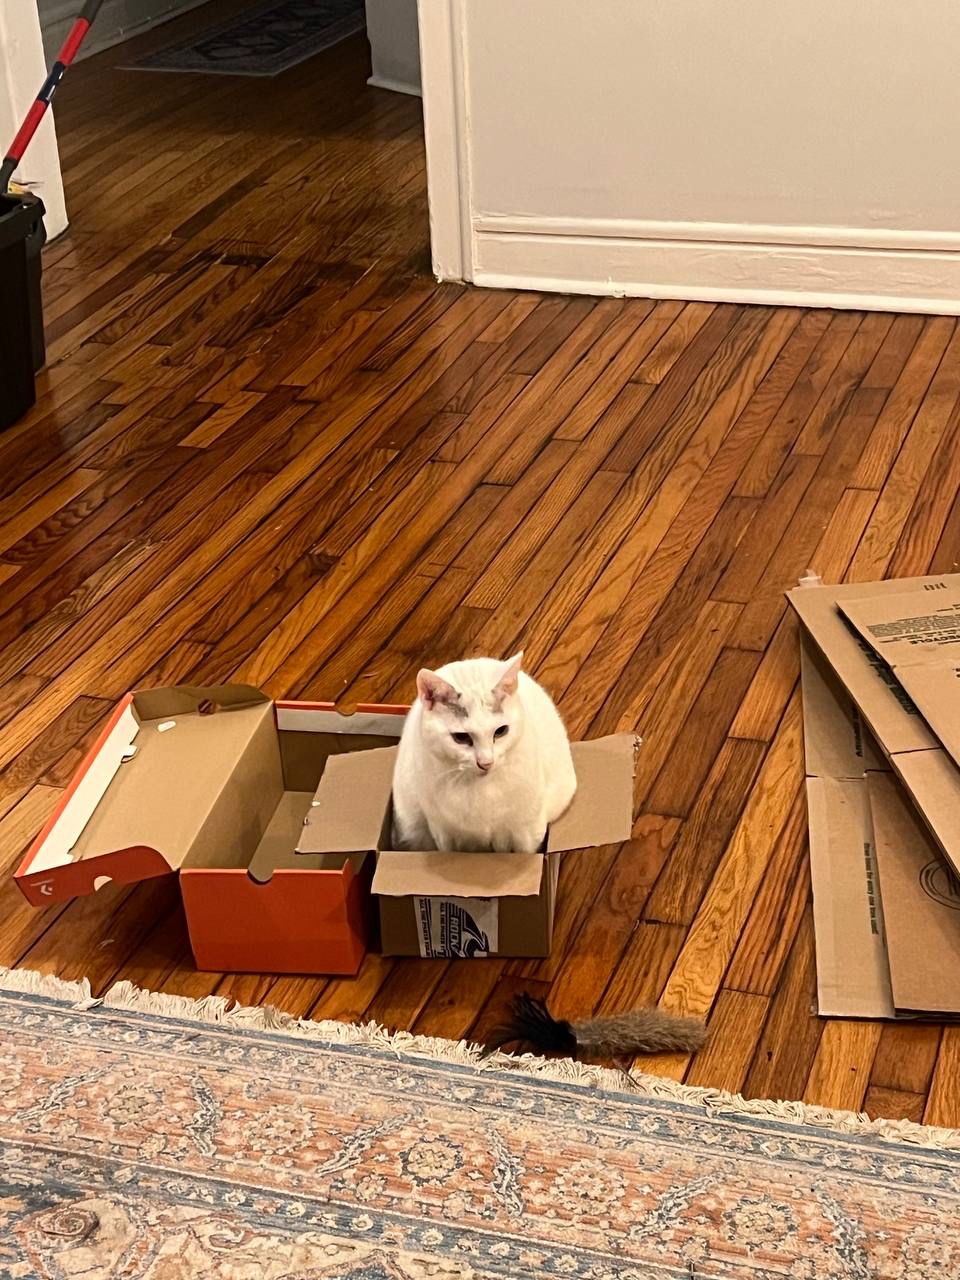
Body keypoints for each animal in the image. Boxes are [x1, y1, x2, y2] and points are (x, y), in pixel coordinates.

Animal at [391, 652, 577, 853]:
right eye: (461, 737)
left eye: (501, 731)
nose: (486, 763)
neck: (481, 790)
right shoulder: (444, 835)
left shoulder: (526, 833)